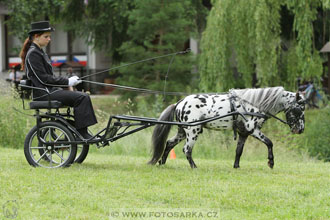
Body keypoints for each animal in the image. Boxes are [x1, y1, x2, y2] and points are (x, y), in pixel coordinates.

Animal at [148, 87, 306, 168]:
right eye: (299, 109)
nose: (300, 130)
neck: (254, 104)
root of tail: (179, 103)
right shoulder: (253, 130)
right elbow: (269, 143)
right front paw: (271, 162)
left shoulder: (244, 133)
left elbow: (238, 151)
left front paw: (236, 166)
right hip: (193, 131)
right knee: (187, 149)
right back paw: (194, 167)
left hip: (183, 131)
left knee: (169, 144)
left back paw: (161, 163)